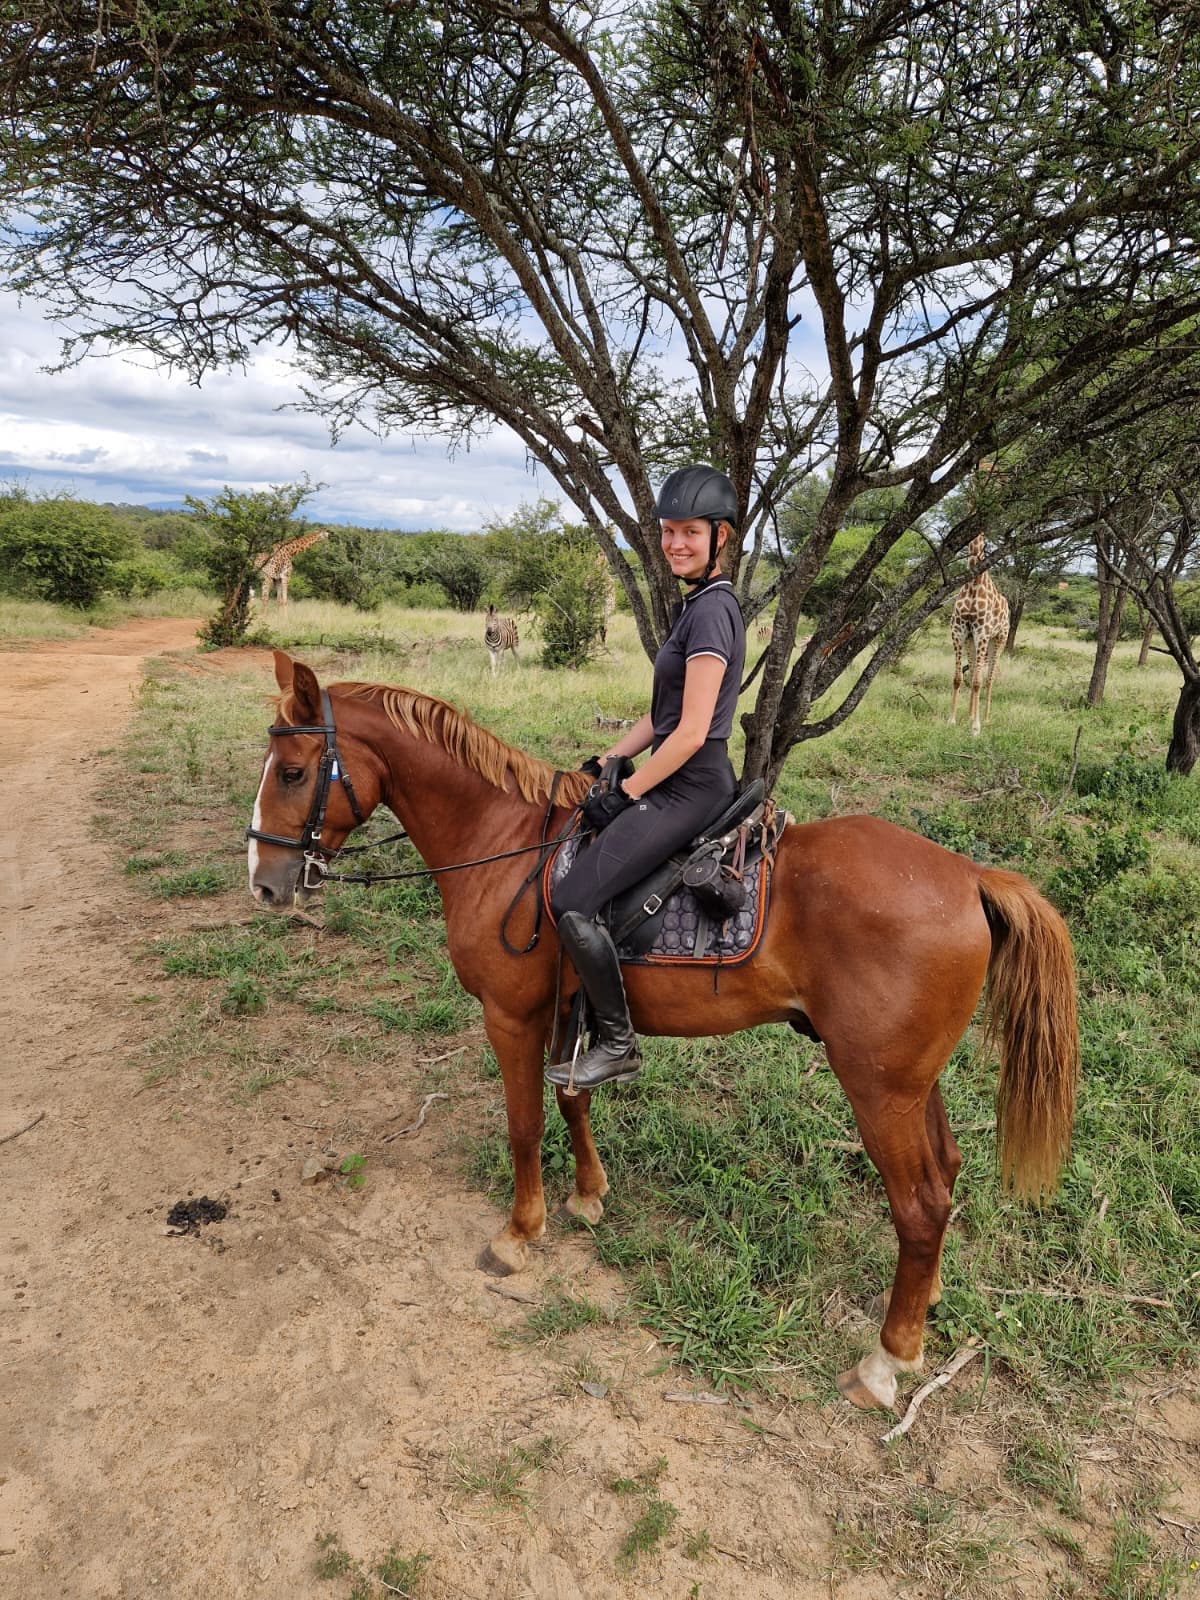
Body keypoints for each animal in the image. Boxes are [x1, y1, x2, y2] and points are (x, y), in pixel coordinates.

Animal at [246, 651, 1079, 1411]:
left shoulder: (510, 1016)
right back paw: (925, 1302)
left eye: (291, 772)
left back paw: (886, 1361)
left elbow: (523, 1123)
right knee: (948, 1169)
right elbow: (573, 1100)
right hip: (909, 1081)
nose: (264, 883)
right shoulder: (567, 1009)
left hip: (877, 1087)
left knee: (921, 1205)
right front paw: (587, 1197)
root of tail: (970, 876)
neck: (503, 843)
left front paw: (519, 1233)